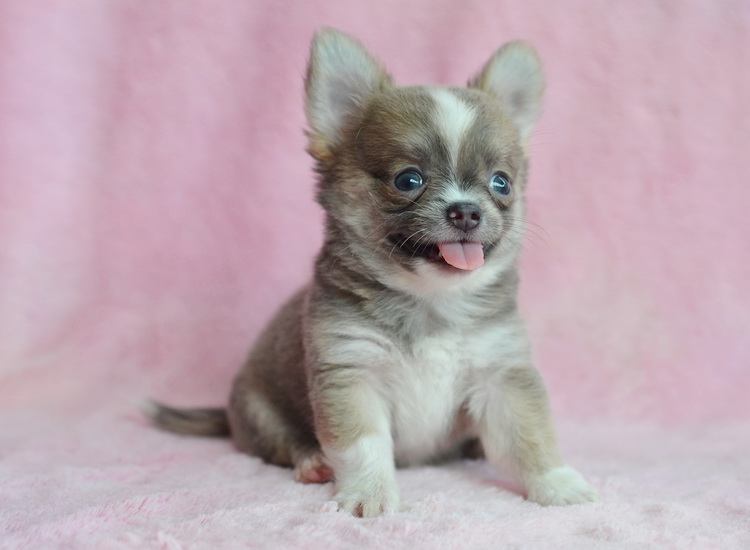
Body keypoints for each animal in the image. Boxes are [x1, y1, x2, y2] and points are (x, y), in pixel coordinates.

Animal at [148, 28, 598, 517]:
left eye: (502, 183)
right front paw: (370, 493)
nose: (466, 210)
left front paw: (555, 483)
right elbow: (362, 444)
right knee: (280, 443)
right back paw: (311, 462)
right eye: (408, 180)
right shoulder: (351, 375)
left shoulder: (502, 376)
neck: (431, 300)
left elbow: (530, 435)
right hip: (258, 408)